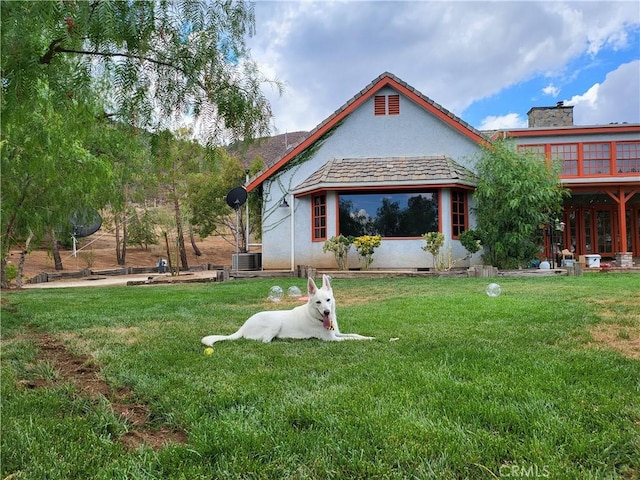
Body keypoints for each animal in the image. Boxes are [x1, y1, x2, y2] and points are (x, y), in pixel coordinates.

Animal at [201, 274, 376, 344]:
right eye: (318, 302)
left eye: (328, 300)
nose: (327, 312)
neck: (316, 317)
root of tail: (243, 326)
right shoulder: (332, 339)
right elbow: (352, 339)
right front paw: (367, 340)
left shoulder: (337, 333)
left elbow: (355, 335)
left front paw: (369, 337)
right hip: (275, 323)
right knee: (265, 341)